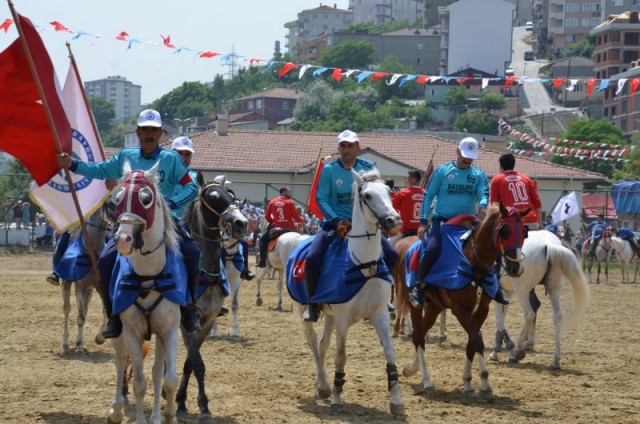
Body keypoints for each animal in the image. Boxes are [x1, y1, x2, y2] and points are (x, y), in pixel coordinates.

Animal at [60, 200, 112, 356]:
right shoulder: (80, 286)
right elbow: (80, 317)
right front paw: (78, 346)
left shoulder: (100, 286)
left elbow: (105, 311)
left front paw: (100, 338)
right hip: (67, 284)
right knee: (67, 309)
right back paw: (65, 345)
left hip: (90, 290)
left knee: (85, 309)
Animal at [108, 162, 180, 424]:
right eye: (117, 198)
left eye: (146, 198)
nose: (123, 239)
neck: (148, 277)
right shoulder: (131, 332)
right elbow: (138, 383)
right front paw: (140, 419)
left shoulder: (169, 330)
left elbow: (169, 379)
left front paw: (168, 415)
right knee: (120, 361)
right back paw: (117, 409)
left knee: (158, 371)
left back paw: (157, 415)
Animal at [292, 169, 404, 414]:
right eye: (368, 195)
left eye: (389, 191)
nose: (394, 219)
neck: (364, 264)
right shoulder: (343, 318)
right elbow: (341, 357)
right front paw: (336, 396)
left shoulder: (379, 314)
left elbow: (390, 352)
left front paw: (396, 400)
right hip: (303, 309)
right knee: (313, 342)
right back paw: (326, 385)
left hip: (330, 315)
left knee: (322, 344)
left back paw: (320, 384)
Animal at [400, 204, 528, 396]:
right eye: (506, 231)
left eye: (525, 231)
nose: (516, 268)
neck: (473, 264)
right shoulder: (459, 309)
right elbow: (477, 340)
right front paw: (484, 380)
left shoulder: (482, 310)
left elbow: (471, 343)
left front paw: (468, 381)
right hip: (416, 305)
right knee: (418, 336)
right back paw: (427, 380)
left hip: (434, 307)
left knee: (420, 334)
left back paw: (412, 368)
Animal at [492, 230, 592, 370]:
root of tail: (548, 245)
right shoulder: (506, 292)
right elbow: (500, 320)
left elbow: (499, 321)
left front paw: (499, 352)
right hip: (554, 289)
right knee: (557, 317)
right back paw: (555, 360)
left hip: (522, 292)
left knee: (529, 314)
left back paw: (517, 351)